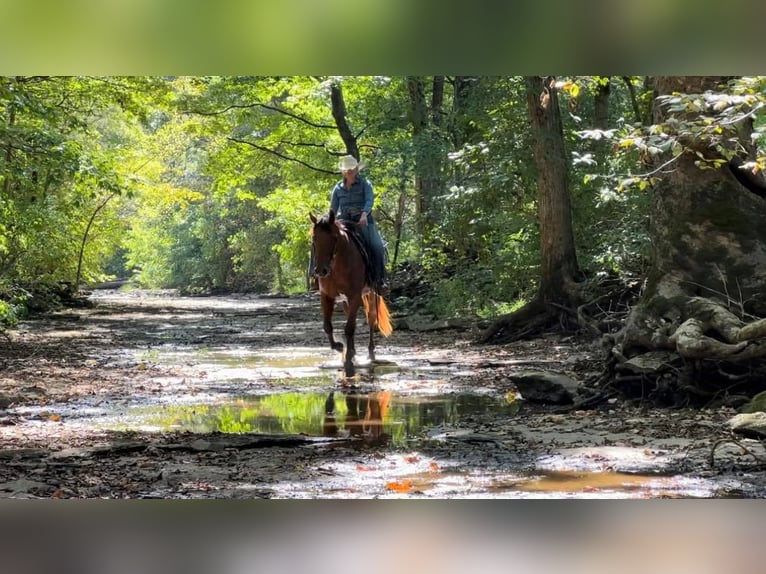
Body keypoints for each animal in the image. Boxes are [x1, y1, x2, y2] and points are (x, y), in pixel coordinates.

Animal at [308, 212, 392, 378]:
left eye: (334, 238)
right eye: (314, 238)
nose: (321, 270)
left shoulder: (354, 296)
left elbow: (349, 328)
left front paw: (347, 358)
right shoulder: (327, 296)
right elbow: (328, 326)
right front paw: (340, 347)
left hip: (371, 294)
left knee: (371, 319)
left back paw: (370, 353)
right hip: (345, 301)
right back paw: (352, 351)